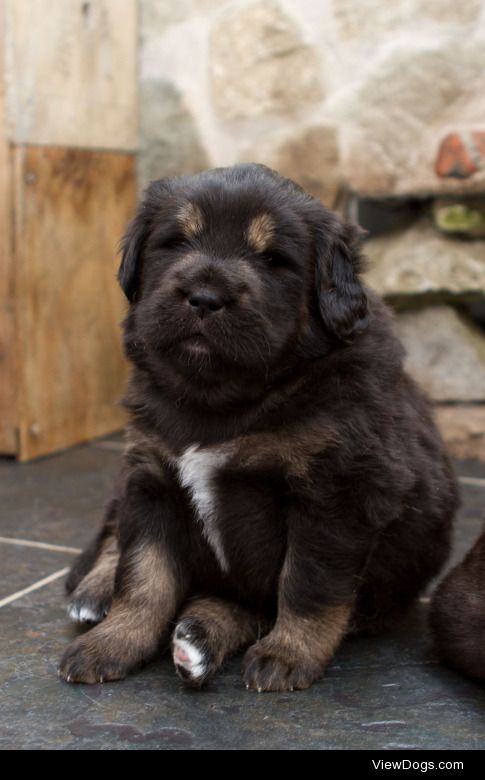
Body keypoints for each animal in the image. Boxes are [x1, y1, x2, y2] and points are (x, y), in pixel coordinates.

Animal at [57, 163, 458, 688]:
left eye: (272, 259)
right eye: (176, 242)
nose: (204, 298)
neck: (222, 402)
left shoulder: (335, 491)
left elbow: (307, 583)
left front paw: (287, 654)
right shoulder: (152, 476)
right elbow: (143, 573)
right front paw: (113, 641)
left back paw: (199, 638)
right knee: (114, 535)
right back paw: (96, 590)